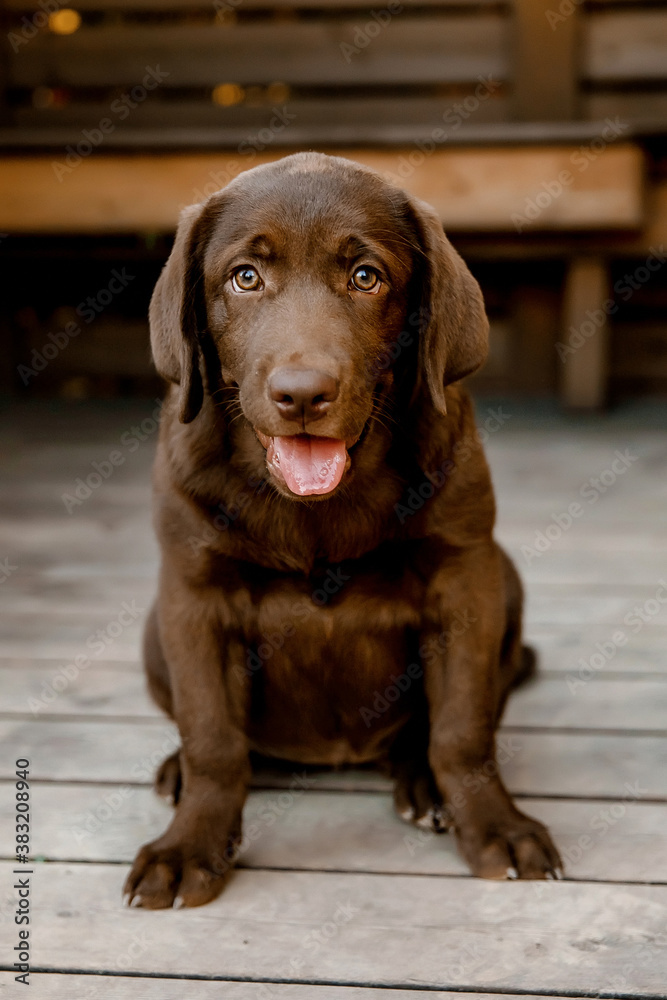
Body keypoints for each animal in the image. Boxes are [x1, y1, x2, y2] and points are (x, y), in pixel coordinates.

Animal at [124, 154, 560, 908]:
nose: (302, 395)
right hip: (156, 627)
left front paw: (495, 827)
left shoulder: (466, 580)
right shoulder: (192, 596)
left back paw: (423, 783)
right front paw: (189, 847)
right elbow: (213, 738)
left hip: (505, 579)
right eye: (245, 277)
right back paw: (176, 772)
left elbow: (462, 728)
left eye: (366, 276)